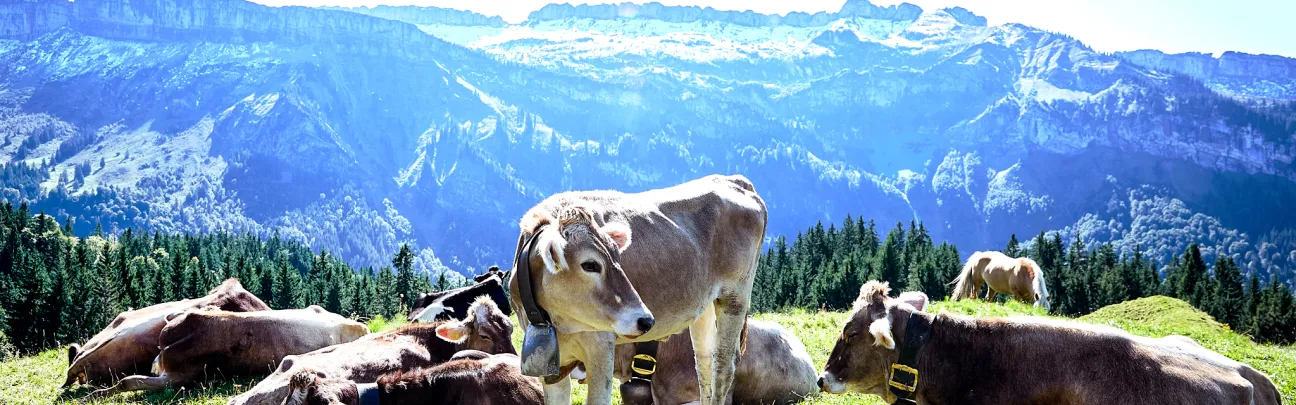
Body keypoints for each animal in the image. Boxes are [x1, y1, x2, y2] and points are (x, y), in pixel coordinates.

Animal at [510, 174, 767, 405]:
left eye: (618, 257)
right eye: (590, 264)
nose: (646, 320)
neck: (560, 324)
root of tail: (733, 180)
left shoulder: (601, 347)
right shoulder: (554, 365)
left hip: (734, 296)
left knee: (722, 368)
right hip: (704, 308)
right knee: (704, 364)